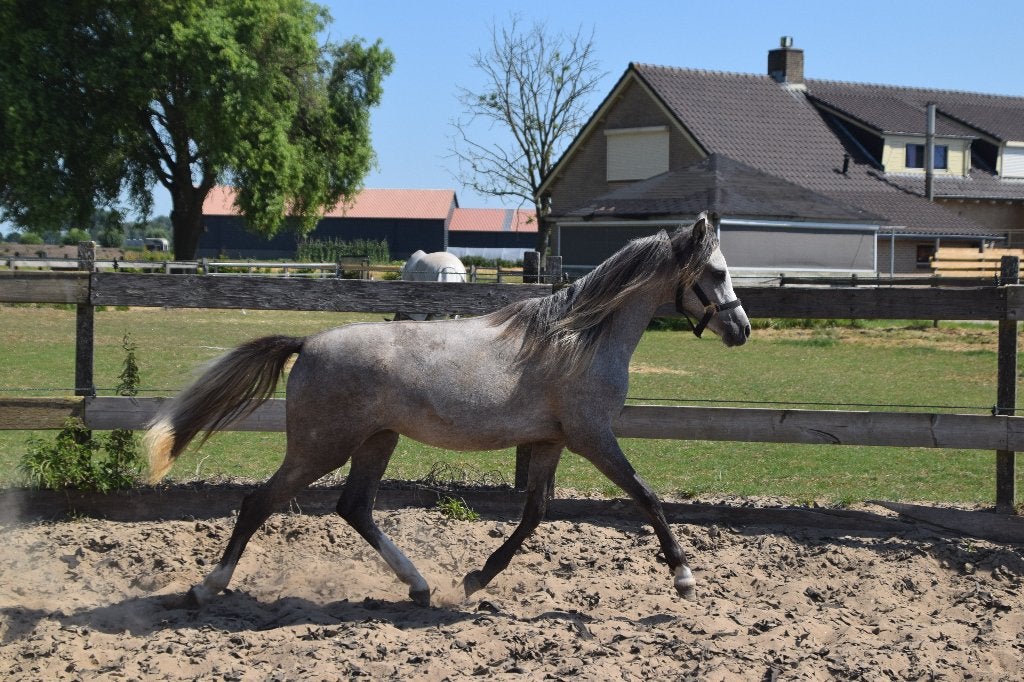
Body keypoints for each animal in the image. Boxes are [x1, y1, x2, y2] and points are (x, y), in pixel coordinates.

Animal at [144, 211, 751, 608]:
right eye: (718, 273)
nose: (741, 329)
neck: (580, 338)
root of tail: (308, 343)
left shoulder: (550, 441)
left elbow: (535, 514)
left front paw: (477, 579)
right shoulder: (592, 437)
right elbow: (647, 497)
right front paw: (684, 577)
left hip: (376, 441)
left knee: (354, 508)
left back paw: (419, 587)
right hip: (321, 448)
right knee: (258, 503)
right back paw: (207, 587)